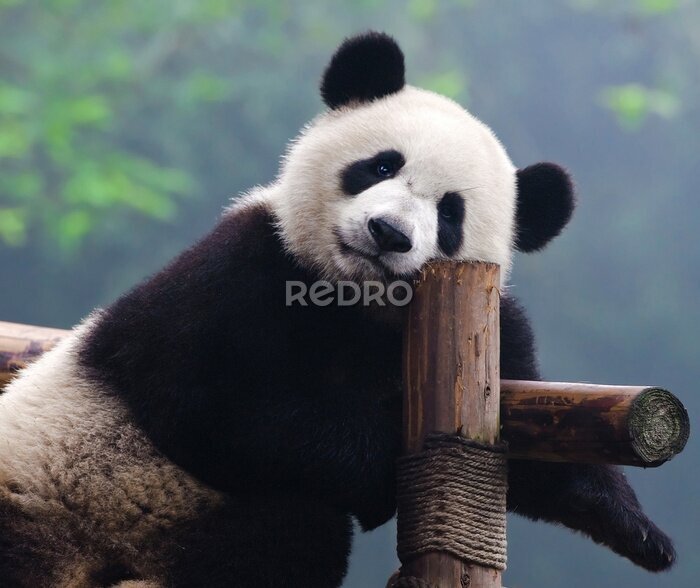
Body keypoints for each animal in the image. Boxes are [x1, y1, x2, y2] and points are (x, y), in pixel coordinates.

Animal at [0, 32, 674, 587]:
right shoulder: (241, 267)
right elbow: (201, 392)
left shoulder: (496, 332)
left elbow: (535, 446)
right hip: (53, 491)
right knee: (294, 522)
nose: (389, 233)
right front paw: (380, 465)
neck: (354, 301)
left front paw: (639, 530)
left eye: (450, 214)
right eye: (381, 165)